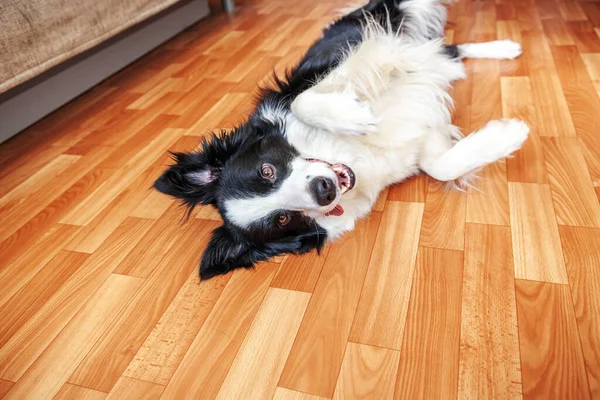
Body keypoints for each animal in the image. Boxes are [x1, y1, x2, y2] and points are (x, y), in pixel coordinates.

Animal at [155, 0, 528, 280]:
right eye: (283, 219)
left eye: (266, 170)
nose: (324, 190)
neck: (350, 154)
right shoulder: (421, 141)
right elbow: (443, 167)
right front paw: (508, 135)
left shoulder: (335, 63)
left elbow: (303, 100)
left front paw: (356, 117)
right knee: (448, 53)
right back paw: (504, 49)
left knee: (438, 45)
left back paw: (504, 46)